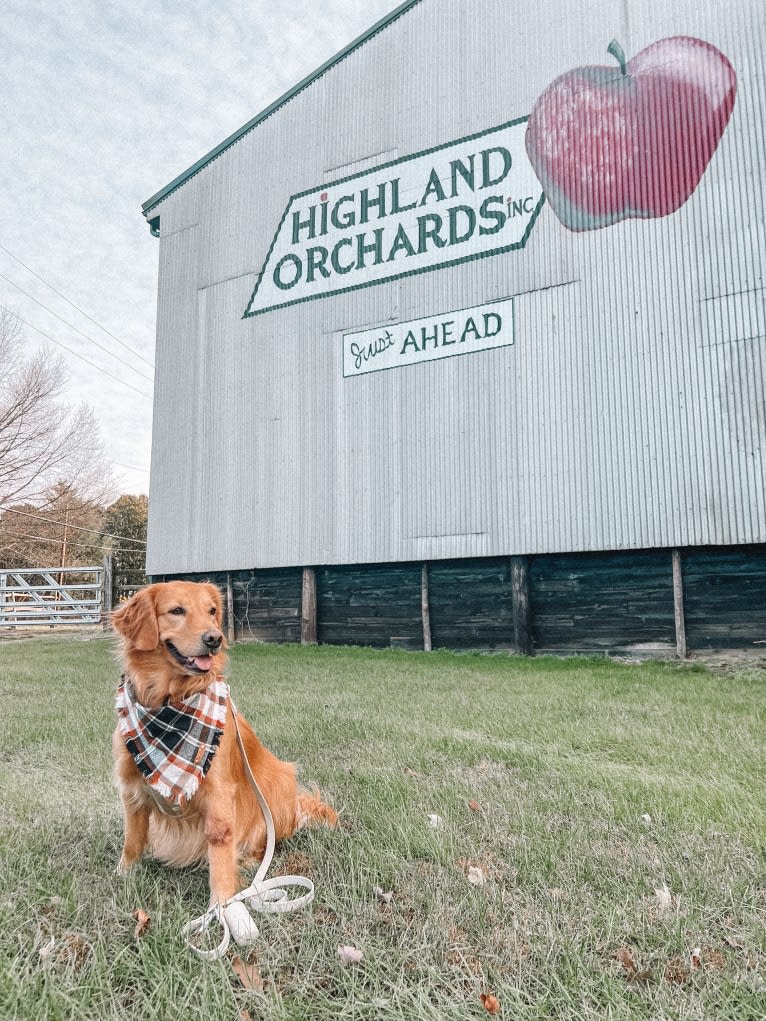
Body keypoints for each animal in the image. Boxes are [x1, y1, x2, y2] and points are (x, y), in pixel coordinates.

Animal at [110, 579, 334, 906]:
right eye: (177, 611)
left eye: (212, 611)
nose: (214, 638)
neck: (169, 705)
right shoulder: (132, 786)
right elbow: (132, 837)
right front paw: (124, 873)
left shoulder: (218, 793)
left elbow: (220, 846)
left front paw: (222, 902)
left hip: (277, 785)